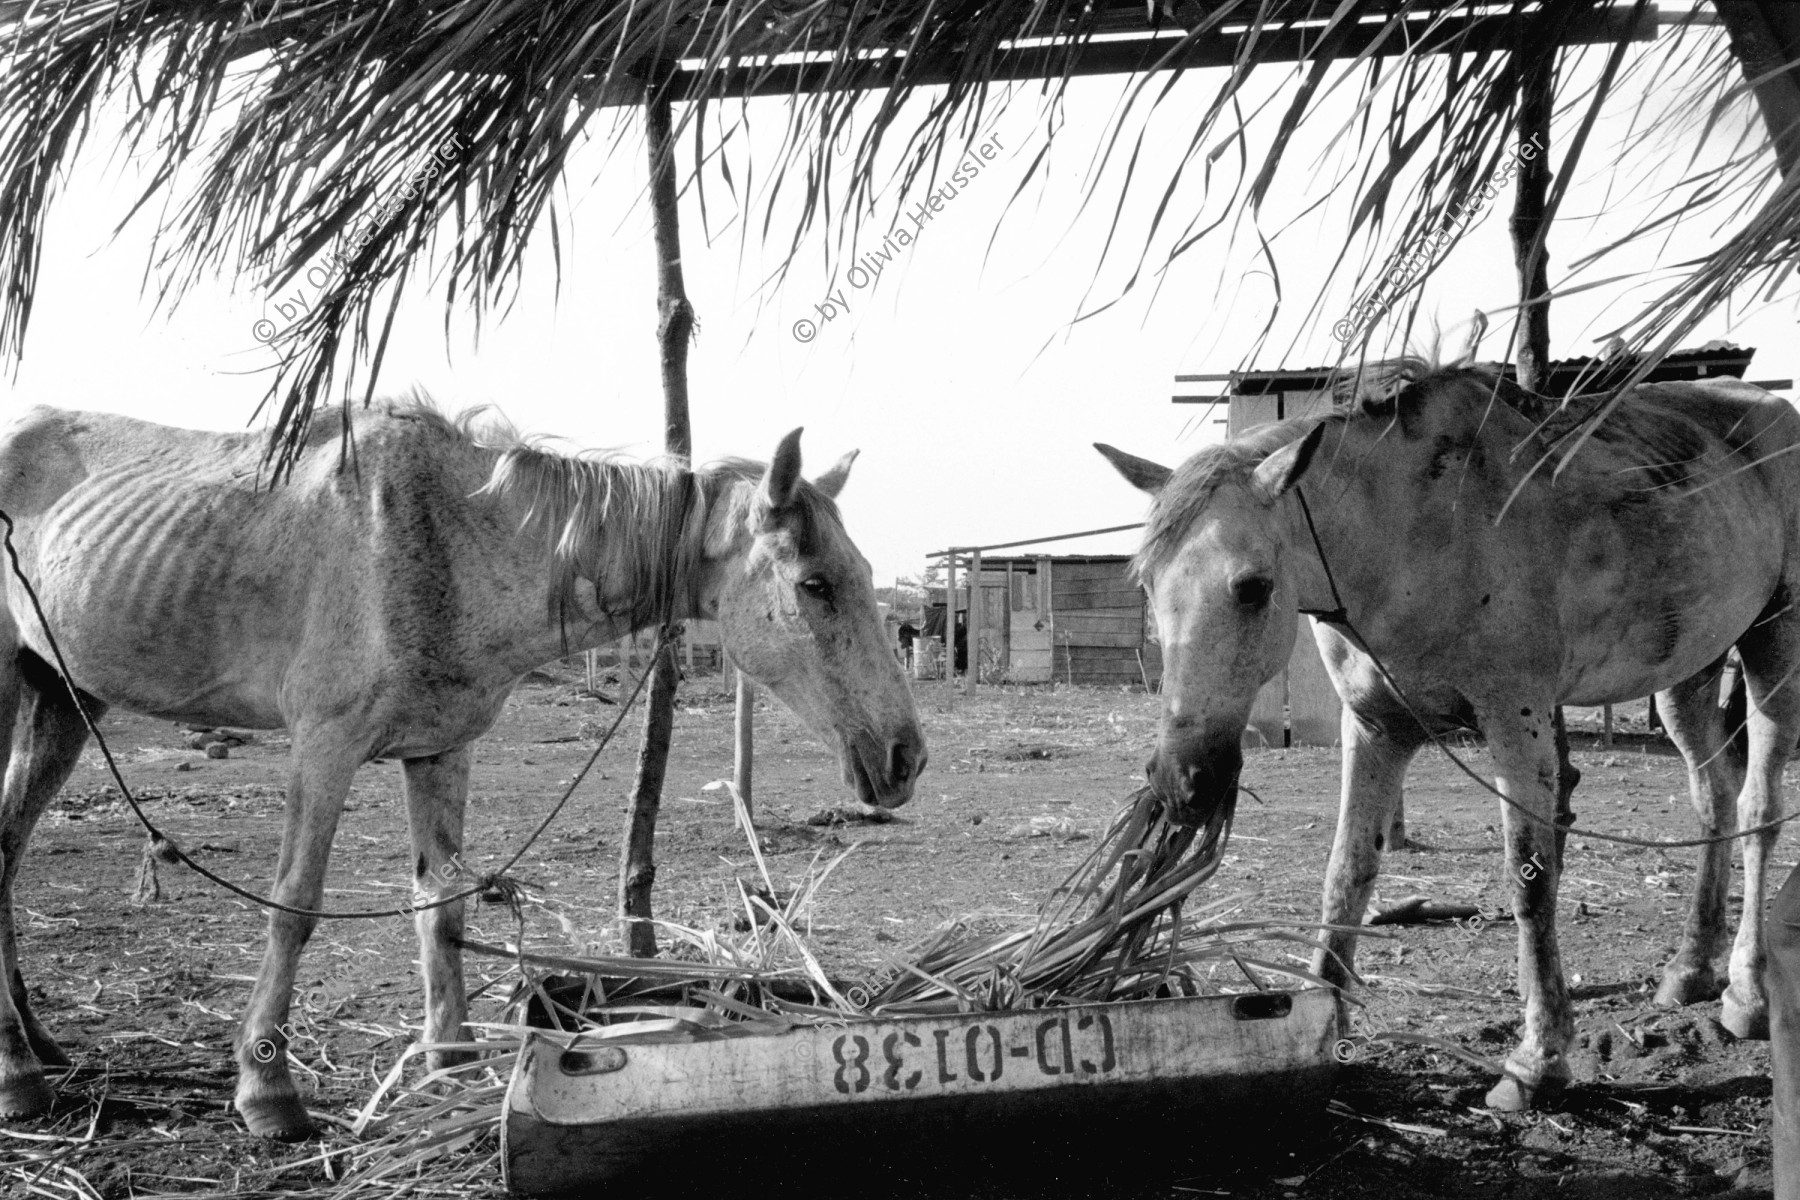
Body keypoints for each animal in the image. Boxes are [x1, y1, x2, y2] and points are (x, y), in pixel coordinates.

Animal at [0, 399, 928, 1144]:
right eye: (815, 584)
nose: (905, 756)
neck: (443, 540)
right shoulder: (324, 745)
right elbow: (294, 909)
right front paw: (268, 1089)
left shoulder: (441, 750)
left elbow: (438, 907)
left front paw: (451, 1064)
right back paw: (22, 1074)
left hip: (61, 701)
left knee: (8, 852)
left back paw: (32, 1049)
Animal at [1094, 361, 1800, 1115]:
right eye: (1146, 582)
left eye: (1253, 587)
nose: (1181, 782)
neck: (1418, 535)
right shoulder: (1375, 728)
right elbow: (1347, 871)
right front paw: (1325, 1020)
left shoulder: (1516, 721)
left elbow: (1530, 883)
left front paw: (1537, 1061)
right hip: (1688, 671)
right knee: (1714, 799)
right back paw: (1691, 970)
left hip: (1774, 651)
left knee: (1758, 810)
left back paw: (1746, 996)